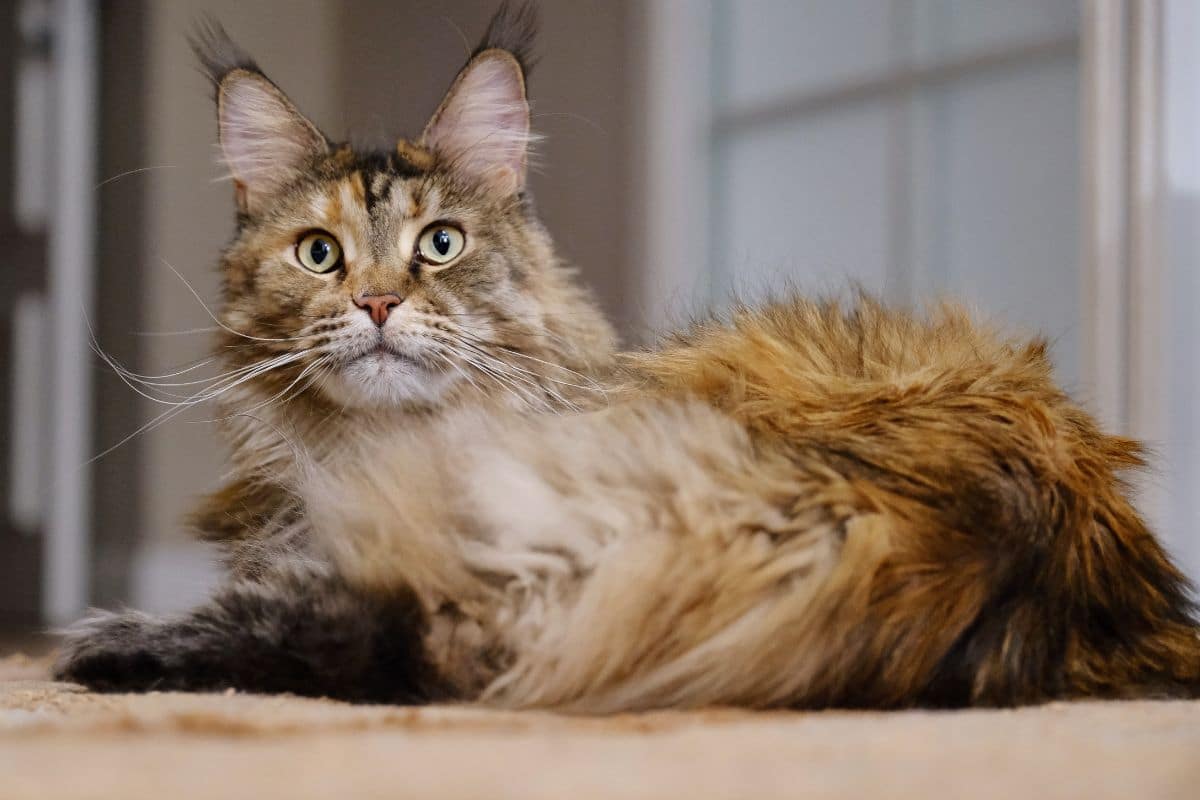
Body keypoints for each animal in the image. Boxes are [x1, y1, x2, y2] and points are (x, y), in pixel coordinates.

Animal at [54, 1, 1200, 714]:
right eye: (320, 253)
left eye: (440, 244)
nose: (378, 301)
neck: (377, 451)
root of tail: (1003, 531)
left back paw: (107, 640)